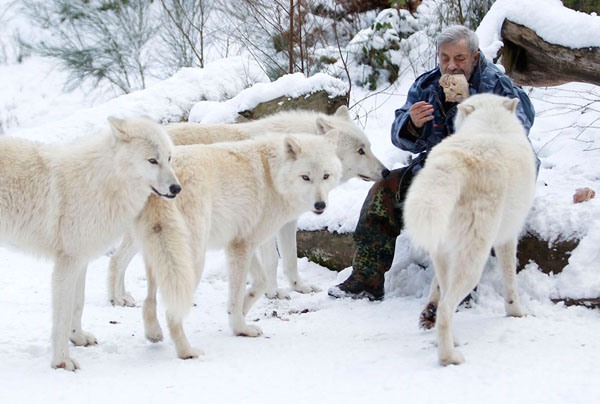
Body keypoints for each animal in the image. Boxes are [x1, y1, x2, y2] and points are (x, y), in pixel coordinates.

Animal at [0, 117, 180, 370]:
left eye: (169, 158)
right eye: (152, 160)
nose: (177, 188)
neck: (103, 182)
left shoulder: (81, 260)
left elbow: (78, 304)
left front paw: (77, 337)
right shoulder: (67, 263)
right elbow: (63, 316)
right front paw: (62, 361)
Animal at [136, 131, 342, 358]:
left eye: (326, 176)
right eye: (305, 177)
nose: (320, 205)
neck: (273, 176)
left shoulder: (241, 243)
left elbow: (261, 282)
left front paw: (241, 311)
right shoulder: (242, 246)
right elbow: (237, 294)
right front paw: (240, 328)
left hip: (159, 256)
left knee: (148, 301)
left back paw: (153, 333)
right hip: (192, 261)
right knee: (172, 312)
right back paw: (186, 351)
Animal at [406, 94, 536, 366]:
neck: (490, 123)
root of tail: (455, 161)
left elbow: (435, 285)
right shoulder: (507, 238)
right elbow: (511, 280)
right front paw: (516, 312)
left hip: (446, 253)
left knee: (444, 298)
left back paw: (448, 338)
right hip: (474, 260)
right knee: (447, 308)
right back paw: (449, 357)